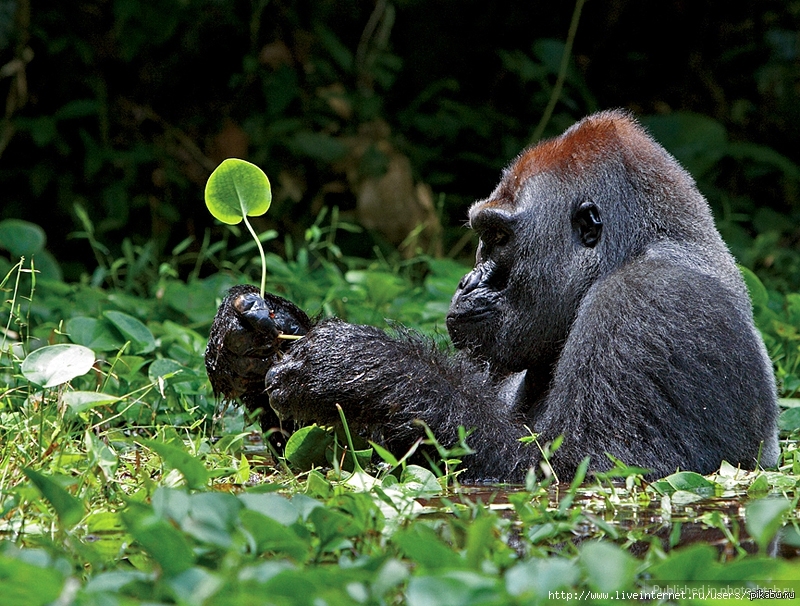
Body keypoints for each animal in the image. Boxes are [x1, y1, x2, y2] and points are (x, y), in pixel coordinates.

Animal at [203, 110, 780, 484]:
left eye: (499, 238)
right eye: (484, 235)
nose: (467, 281)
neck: (631, 249)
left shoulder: (652, 303)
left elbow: (583, 470)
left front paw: (362, 367)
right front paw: (252, 340)